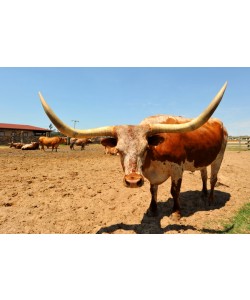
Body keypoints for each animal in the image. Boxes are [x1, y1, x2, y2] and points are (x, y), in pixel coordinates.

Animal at [37, 83, 229, 219]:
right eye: (119, 150)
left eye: (145, 148)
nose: (133, 181)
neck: (153, 158)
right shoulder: (151, 175)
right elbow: (153, 190)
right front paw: (152, 210)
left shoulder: (177, 169)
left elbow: (174, 191)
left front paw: (175, 213)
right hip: (203, 158)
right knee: (204, 175)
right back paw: (203, 194)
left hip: (219, 157)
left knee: (213, 178)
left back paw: (210, 199)